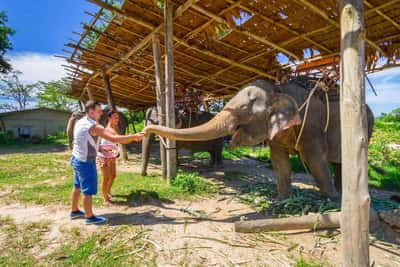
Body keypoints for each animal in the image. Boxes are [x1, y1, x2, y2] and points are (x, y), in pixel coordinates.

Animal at [144, 78, 376, 200]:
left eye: (244, 109)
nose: (144, 130)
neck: (276, 89)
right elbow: (279, 162)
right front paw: (282, 199)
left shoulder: (311, 126)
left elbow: (315, 160)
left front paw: (329, 201)